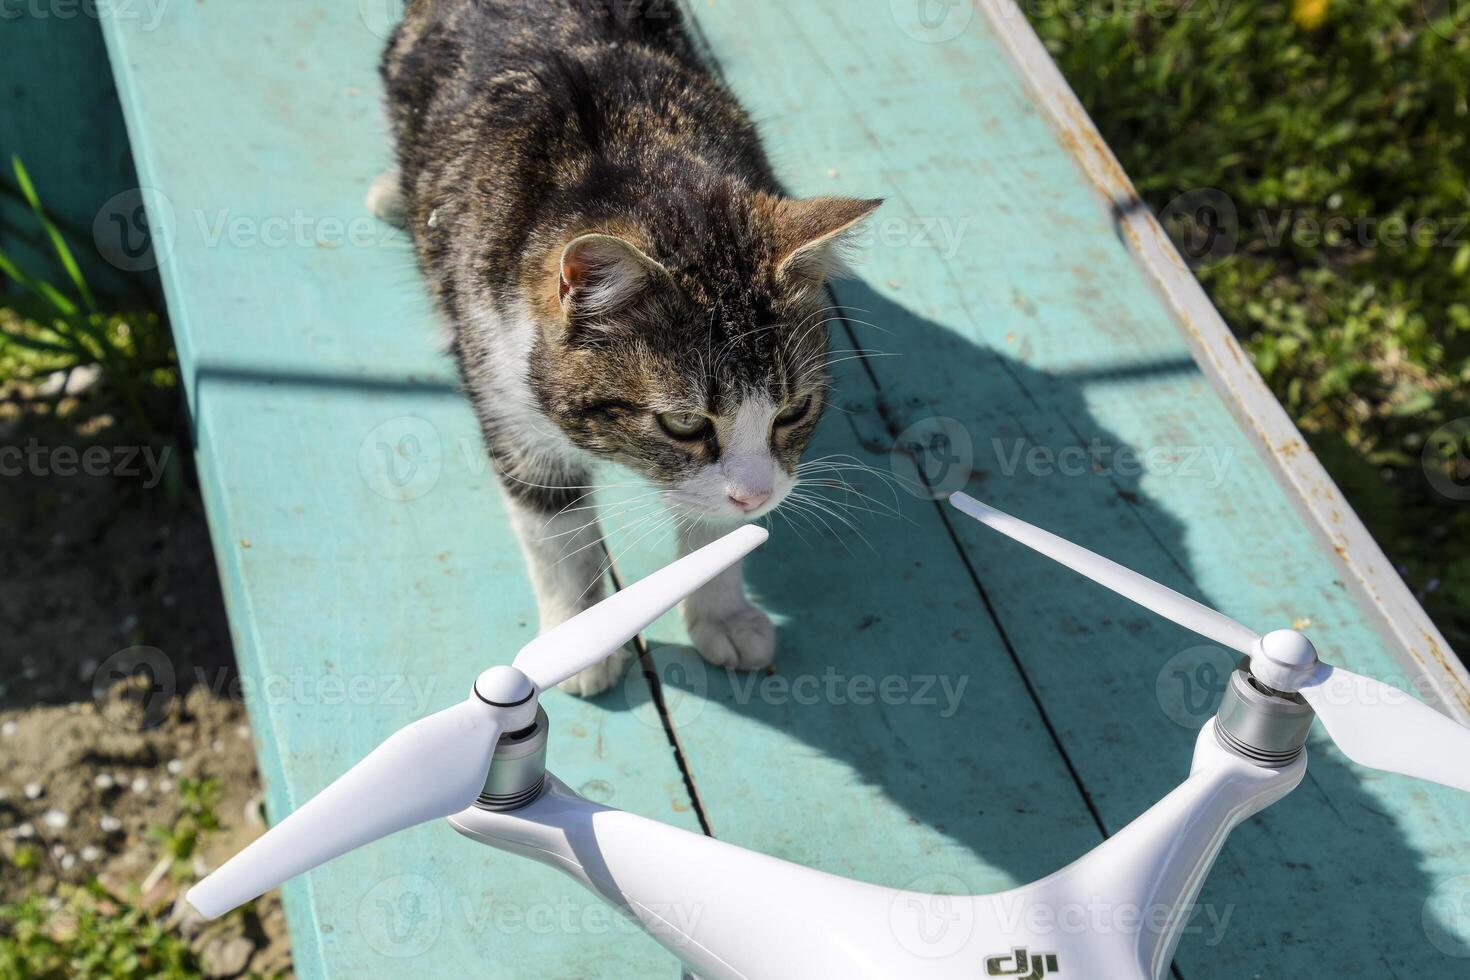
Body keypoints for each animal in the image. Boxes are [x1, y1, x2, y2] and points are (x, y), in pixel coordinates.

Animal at [373, 0, 876, 696]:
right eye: (684, 422)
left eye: (794, 410)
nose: (758, 498)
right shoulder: (503, 388)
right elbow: (552, 528)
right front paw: (573, 639)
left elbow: (714, 528)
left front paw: (721, 613)